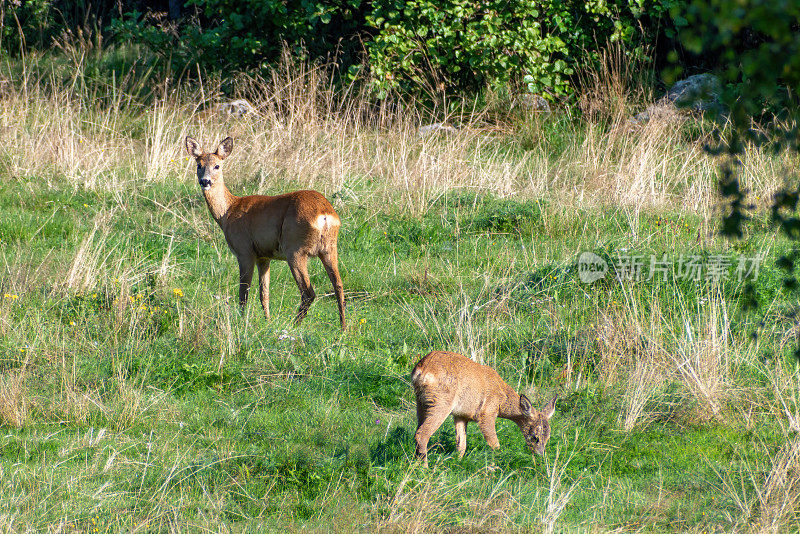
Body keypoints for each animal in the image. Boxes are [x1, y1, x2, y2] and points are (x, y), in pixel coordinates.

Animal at [189, 136, 348, 328]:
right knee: (338, 285)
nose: (205, 181)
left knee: (308, 292)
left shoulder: (244, 251)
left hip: (295, 248)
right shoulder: (264, 256)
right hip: (329, 248)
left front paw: (242, 322)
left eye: (217, 166)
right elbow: (264, 294)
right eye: (199, 165)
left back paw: (293, 325)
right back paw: (343, 327)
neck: (228, 212)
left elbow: (244, 292)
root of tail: (325, 214)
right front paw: (268, 322)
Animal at [412, 352, 556, 464]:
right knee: (422, 434)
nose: (540, 455)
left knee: (417, 431)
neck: (502, 399)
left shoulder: (461, 415)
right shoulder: (487, 413)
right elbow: (494, 443)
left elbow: (461, 444)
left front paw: (458, 462)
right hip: (441, 402)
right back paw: (425, 467)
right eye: (534, 437)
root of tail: (421, 370)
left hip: (421, 403)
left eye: (548, 437)